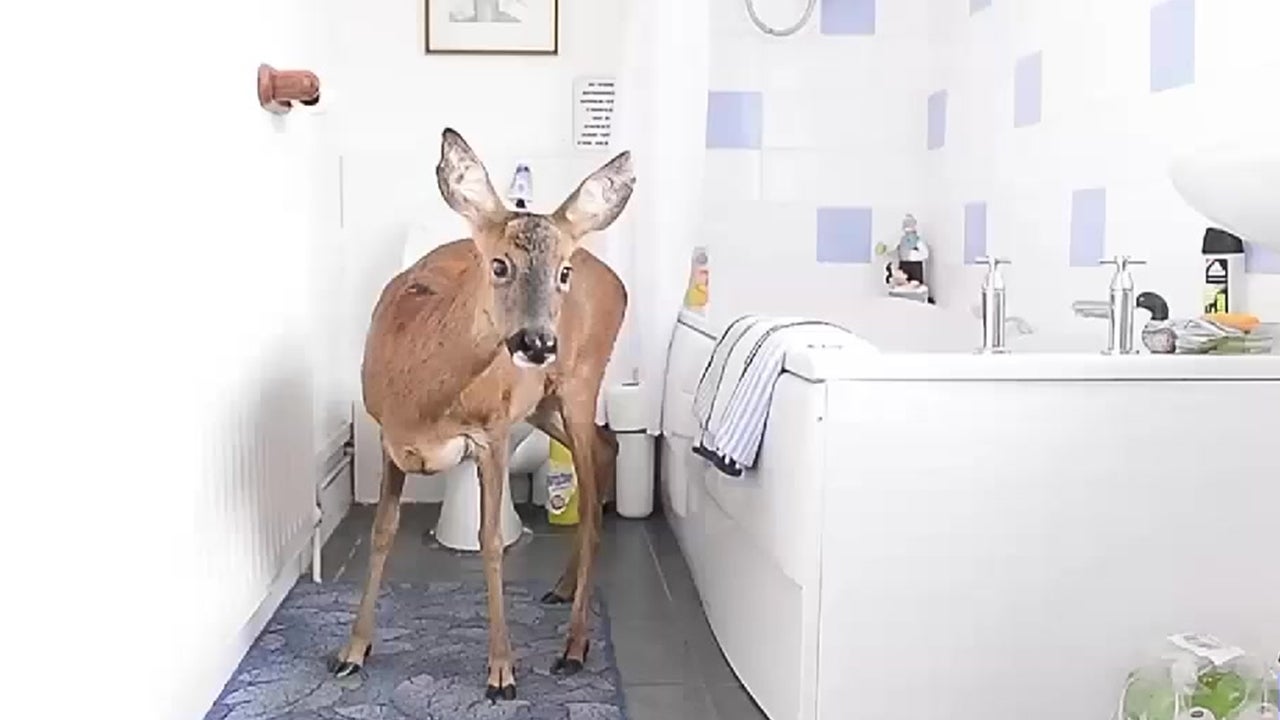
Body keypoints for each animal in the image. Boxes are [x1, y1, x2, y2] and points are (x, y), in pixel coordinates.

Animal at [328, 127, 636, 702]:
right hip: (542, 402)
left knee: (591, 492)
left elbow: (490, 542)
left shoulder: (492, 432)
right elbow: (381, 533)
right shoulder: (388, 437)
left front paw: (501, 672)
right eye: (498, 264)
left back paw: (574, 647)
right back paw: (561, 589)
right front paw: (352, 653)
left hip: (580, 381)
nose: (538, 343)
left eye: (562, 272)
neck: (422, 400)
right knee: (609, 446)